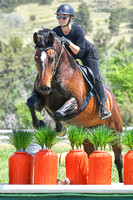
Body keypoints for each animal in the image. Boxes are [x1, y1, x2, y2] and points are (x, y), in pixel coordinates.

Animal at [26, 28, 123, 183]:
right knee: (89, 154)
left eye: (51, 58)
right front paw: (38, 124)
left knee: (118, 159)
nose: (44, 88)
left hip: (115, 131)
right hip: (88, 134)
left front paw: (60, 130)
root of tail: (112, 98)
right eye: (36, 58)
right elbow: (31, 103)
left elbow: (58, 113)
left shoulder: (75, 102)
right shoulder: (41, 97)